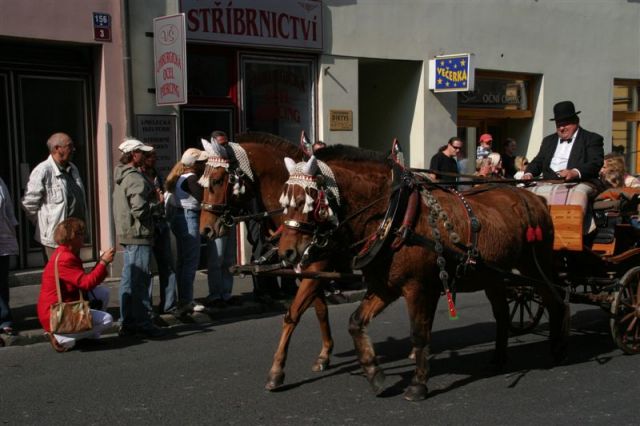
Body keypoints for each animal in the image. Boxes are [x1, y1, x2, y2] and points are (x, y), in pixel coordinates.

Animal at [199, 132, 348, 390]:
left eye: (217, 180)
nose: (205, 229)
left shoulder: (318, 266)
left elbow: (294, 312)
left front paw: (277, 371)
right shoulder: (309, 269)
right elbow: (319, 309)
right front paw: (324, 354)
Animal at [278, 146, 568, 400]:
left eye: (305, 201)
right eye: (284, 203)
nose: (285, 252)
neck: (393, 216)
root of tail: (535, 198)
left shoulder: (417, 287)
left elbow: (419, 333)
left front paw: (417, 385)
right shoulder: (386, 286)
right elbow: (356, 322)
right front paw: (375, 375)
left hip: (535, 264)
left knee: (555, 297)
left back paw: (557, 348)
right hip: (493, 275)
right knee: (503, 313)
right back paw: (498, 359)